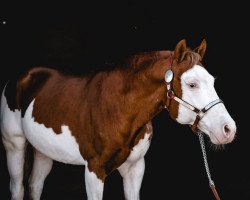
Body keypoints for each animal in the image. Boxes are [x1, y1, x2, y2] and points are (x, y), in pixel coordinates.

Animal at [0, 39, 236, 200]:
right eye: (192, 84)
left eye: (212, 81)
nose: (228, 129)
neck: (118, 110)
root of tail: (23, 77)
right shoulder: (94, 171)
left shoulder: (135, 168)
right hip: (14, 145)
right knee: (18, 187)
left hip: (43, 151)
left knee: (35, 185)